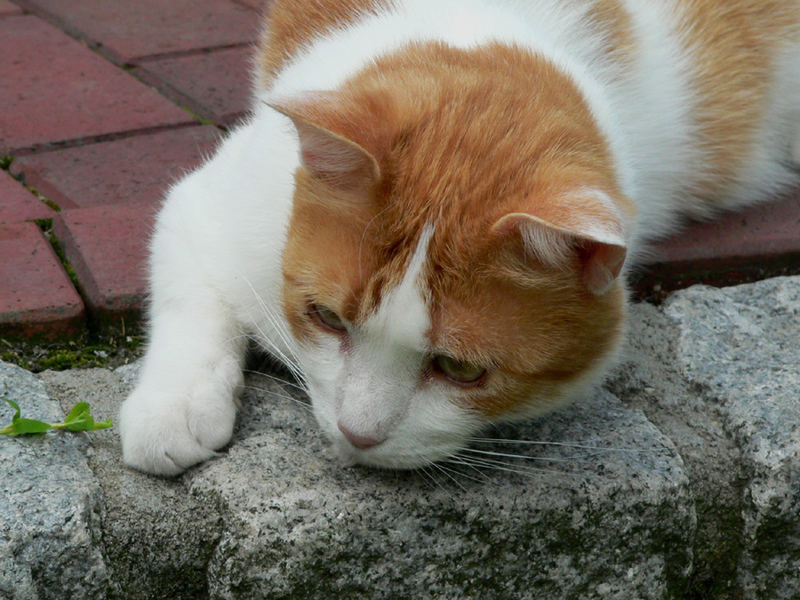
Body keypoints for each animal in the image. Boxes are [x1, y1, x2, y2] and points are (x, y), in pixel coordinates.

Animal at [119, 0, 800, 478]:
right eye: (327, 319)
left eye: (460, 369)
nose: (358, 433)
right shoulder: (213, 204)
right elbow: (191, 300)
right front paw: (173, 406)